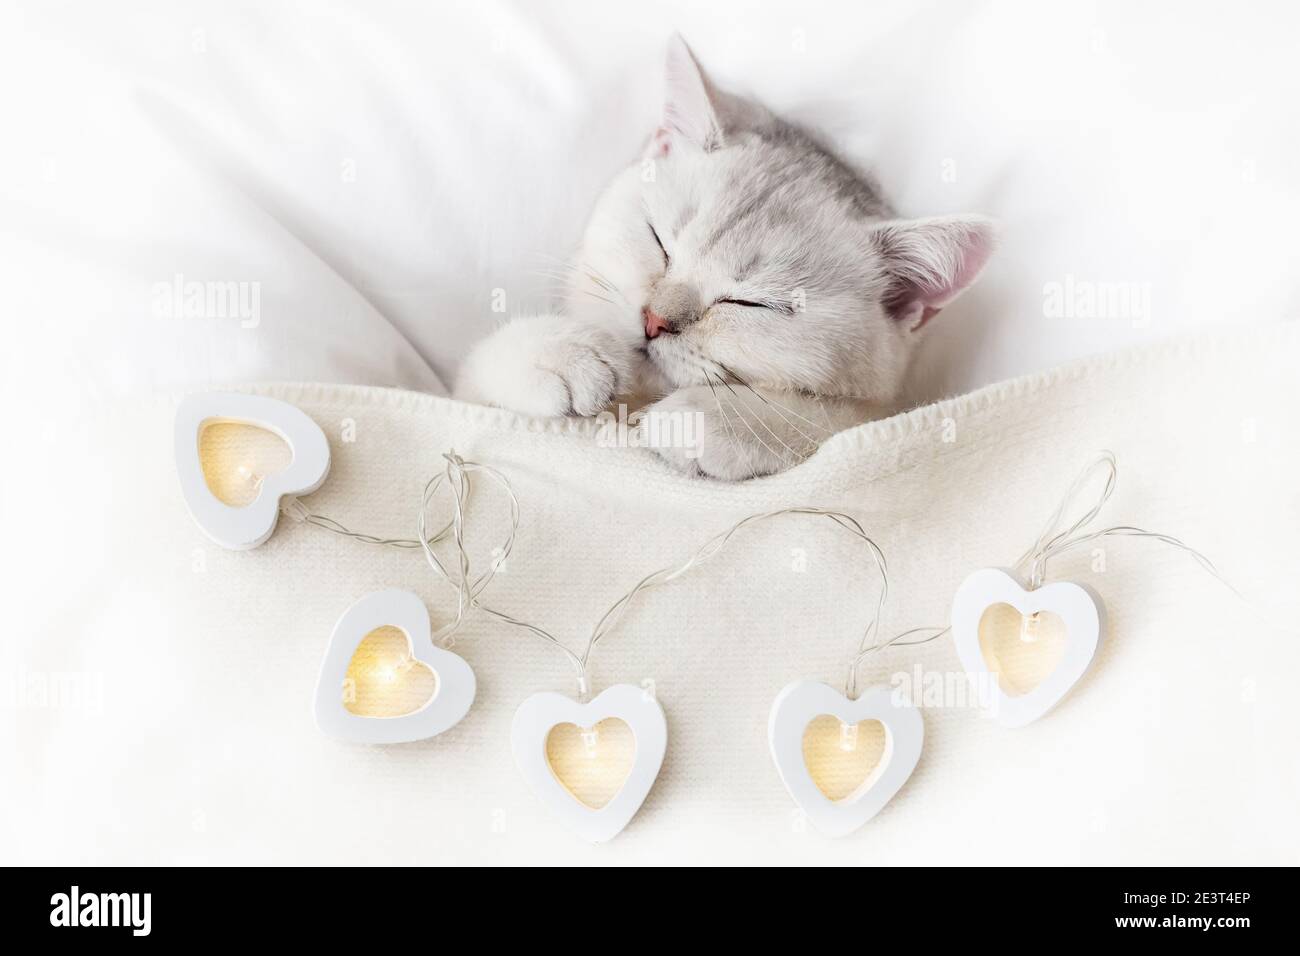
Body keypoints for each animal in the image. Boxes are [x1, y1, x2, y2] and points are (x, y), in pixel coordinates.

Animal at [457, 35, 993, 478]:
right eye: (659, 240)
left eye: (751, 303)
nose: (654, 319)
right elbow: (477, 376)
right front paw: (559, 352)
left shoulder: (880, 416)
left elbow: (837, 420)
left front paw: (712, 418)